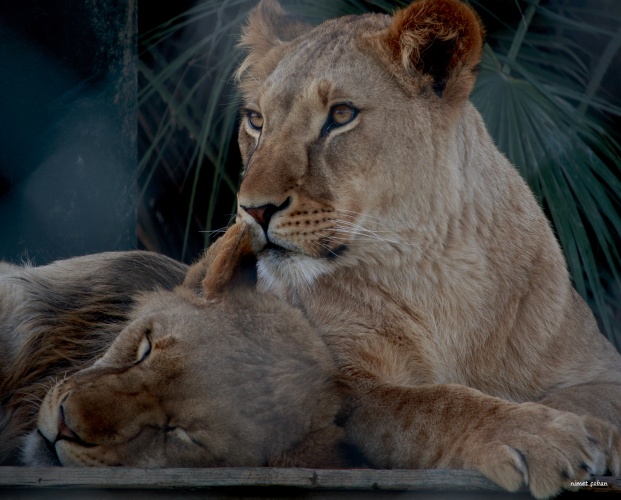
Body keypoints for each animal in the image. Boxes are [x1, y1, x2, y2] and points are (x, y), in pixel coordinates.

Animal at [232, 0, 620, 498]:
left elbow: (590, 396)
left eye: (341, 114)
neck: (433, 264)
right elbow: (433, 404)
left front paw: (590, 430)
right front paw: (536, 435)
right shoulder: (335, 388)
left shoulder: (602, 365)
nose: (253, 209)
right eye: (256, 120)